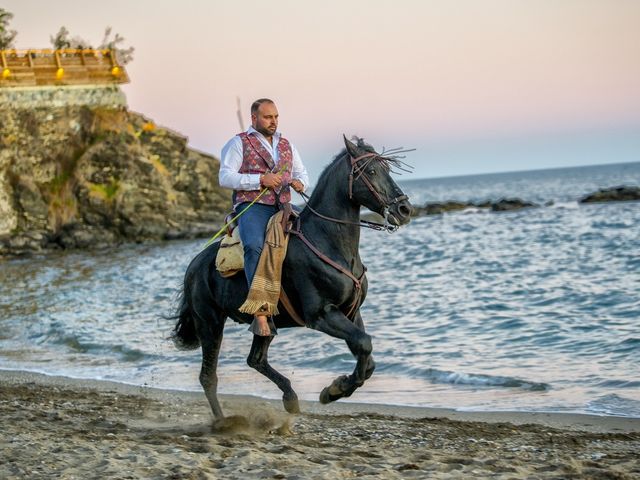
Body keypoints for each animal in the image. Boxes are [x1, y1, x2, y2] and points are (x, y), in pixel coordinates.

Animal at [171, 135, 410, 416]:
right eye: (370, 171)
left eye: (388, 169)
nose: (405, 209)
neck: (327, 241)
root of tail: (193, 266)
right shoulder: (321, 315)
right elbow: (364, 344)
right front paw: (333, 390)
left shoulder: (351, 312)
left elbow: (367, 358)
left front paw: (335, 389)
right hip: (210, 324)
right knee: (209, 377)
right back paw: (224, 421)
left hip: (263, 326)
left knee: (255, 360)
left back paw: (290, 397)